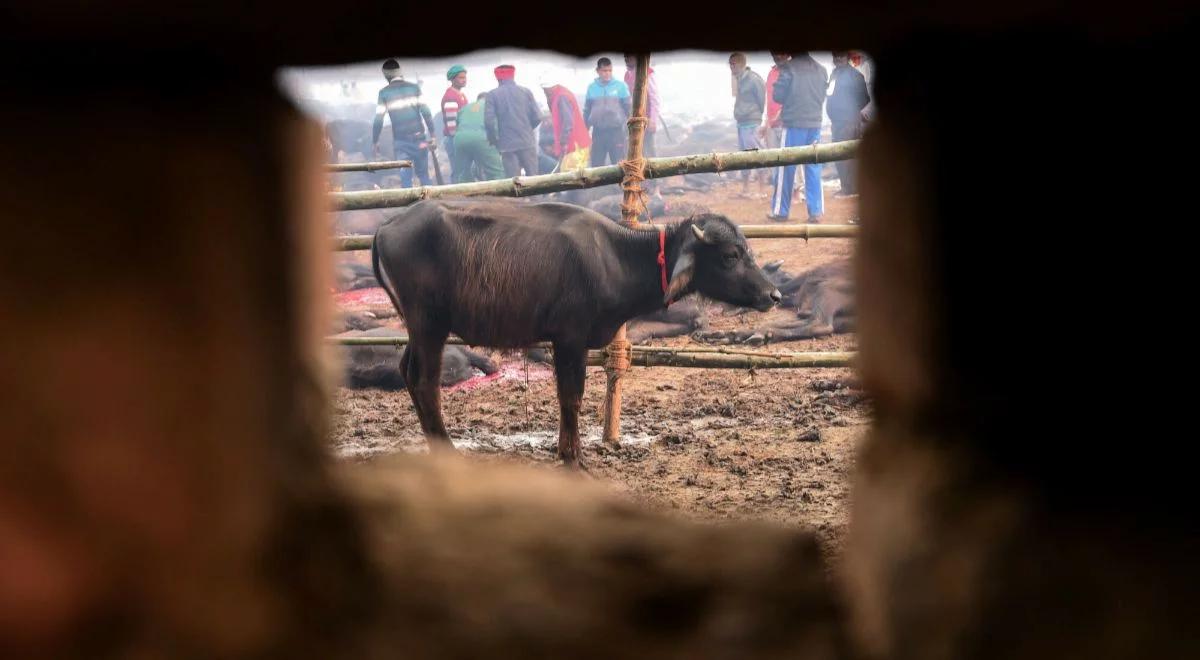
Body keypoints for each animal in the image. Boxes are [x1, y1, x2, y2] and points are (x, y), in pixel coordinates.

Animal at [374, 199, 782, 468]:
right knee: (425, 382)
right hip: (429, 324)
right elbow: (571, 397)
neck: (616, 259)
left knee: (408, 372)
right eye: (730, 255)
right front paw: (573, 458)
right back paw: (447, 452)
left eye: (747, 250)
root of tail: (389, 225)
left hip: (418, 328)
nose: (773, 295)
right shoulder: (569, 338)